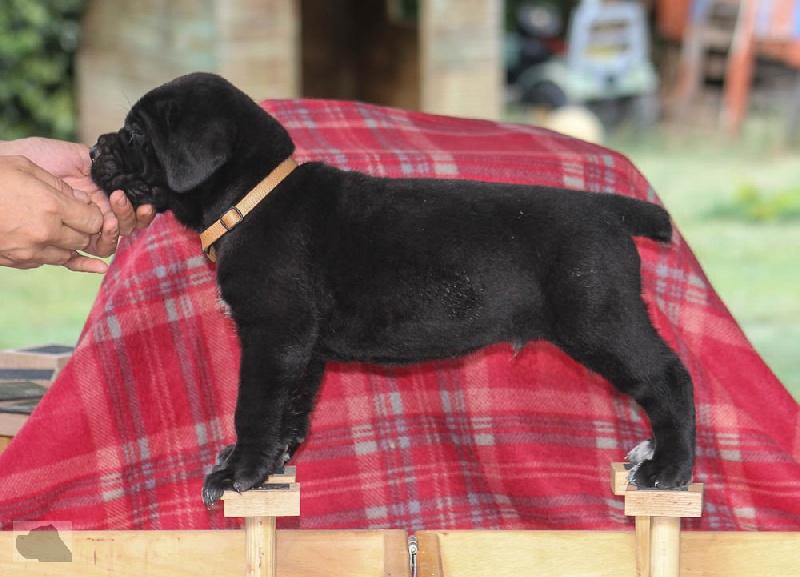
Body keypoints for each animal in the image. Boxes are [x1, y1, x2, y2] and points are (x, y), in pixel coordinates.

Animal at [92, 71, 692, 504]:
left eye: (137, 133)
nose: (96, 147)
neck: (251, 197)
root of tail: (609, 209)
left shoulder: (271, 334)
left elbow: (254, 406)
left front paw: (239, 472)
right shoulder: (302, 348)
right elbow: (289, 411)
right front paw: (270, 467)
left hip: (600, 321)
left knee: (669, 377)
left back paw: (668, 469)